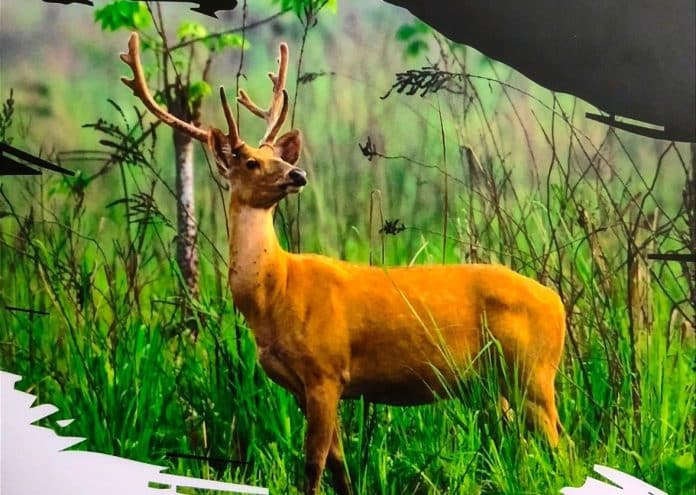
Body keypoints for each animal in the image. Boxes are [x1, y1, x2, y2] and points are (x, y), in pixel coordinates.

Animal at [120, 32, 566, 495]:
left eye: (278, 157)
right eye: (252, 161)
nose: (297, 174)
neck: (276, 292)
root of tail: (558, 304)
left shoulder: (326, 370)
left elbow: (314, 462)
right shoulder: (303, 384)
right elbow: (338, 463)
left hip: (533, 371)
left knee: (559, 444)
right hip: (494, 382)